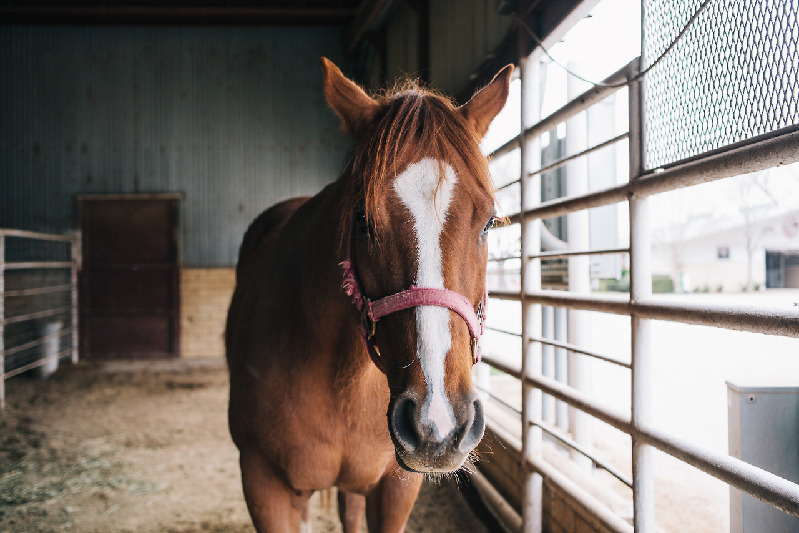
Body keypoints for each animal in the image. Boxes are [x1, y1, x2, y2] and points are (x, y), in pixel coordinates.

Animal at [225, 59, 512, 532]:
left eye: (488, 222)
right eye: (362, 219)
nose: (438, 424)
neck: (342, 380)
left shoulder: (396, 486)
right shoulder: (264, 485)